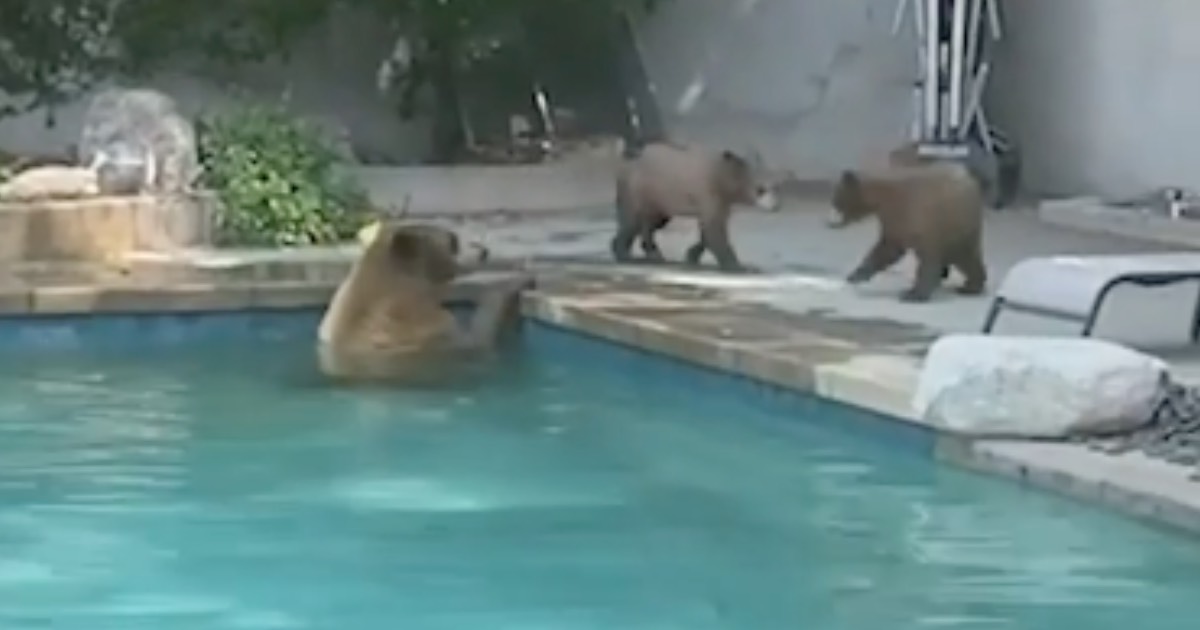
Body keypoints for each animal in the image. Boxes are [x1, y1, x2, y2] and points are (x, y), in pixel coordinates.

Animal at [610, 141, 780, 273]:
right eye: (761, 189)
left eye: (775, 187)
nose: (776, 206)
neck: (721, 174)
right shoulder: (707, 191)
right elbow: (714, 228)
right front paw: (739, 266)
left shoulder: (722, 201)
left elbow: (710, 228)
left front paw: (692, 254)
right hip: (638, 189)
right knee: (632, 219)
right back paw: (625, 253)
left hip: (657, 196)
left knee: (654, 221)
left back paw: (649, 251)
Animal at [827, 161, 987, 303]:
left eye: (836, 197)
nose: (829, 221)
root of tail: (971, 178)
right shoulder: (894, 220)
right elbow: (888, 247)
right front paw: (856, 275)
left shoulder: (919, 215)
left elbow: (927, 256)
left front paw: (913, 294)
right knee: (963, 255)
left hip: (960, 222)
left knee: (965, 255)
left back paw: (971, 286)